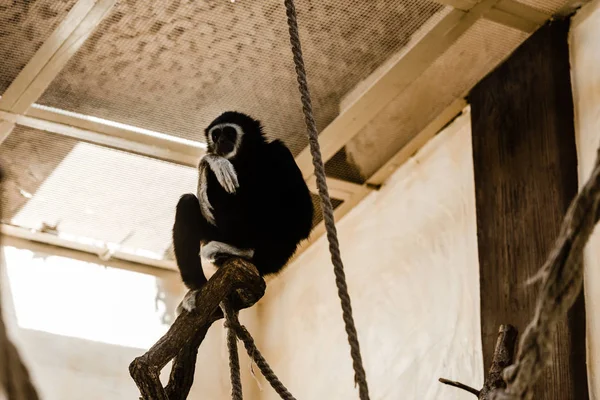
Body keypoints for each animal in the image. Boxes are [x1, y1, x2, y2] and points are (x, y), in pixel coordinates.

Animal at [171, 111, 314, 310]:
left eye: (229, 132)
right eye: (216, 134)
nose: (220, 140)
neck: (246, 158)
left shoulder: (280, 151)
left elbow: (302, 217)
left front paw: (213, 160)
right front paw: (213, 161)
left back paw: (244, 253)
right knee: (187, 202)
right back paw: (197, 287)